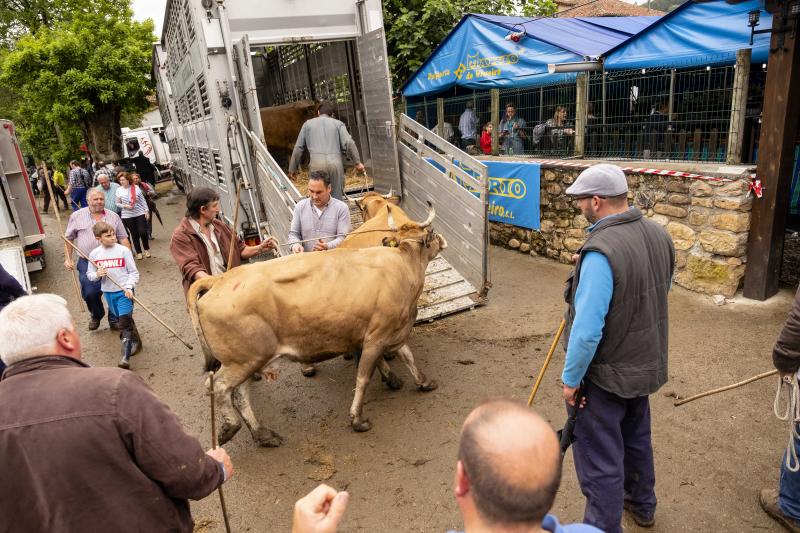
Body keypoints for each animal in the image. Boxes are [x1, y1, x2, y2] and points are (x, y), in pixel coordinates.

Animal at [191, 212, 446, 444]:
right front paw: (357, 418)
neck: (402, 266)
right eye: (431, 233)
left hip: (248, 361)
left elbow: (408, 356)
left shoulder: (391, 331)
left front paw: (423, 382)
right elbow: (363, 377)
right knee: (217, 386)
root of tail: (220, 279)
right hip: (242, 361)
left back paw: (262, 434)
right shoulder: (376, 336)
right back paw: (230, 427)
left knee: (239, 395)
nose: (442, 239)